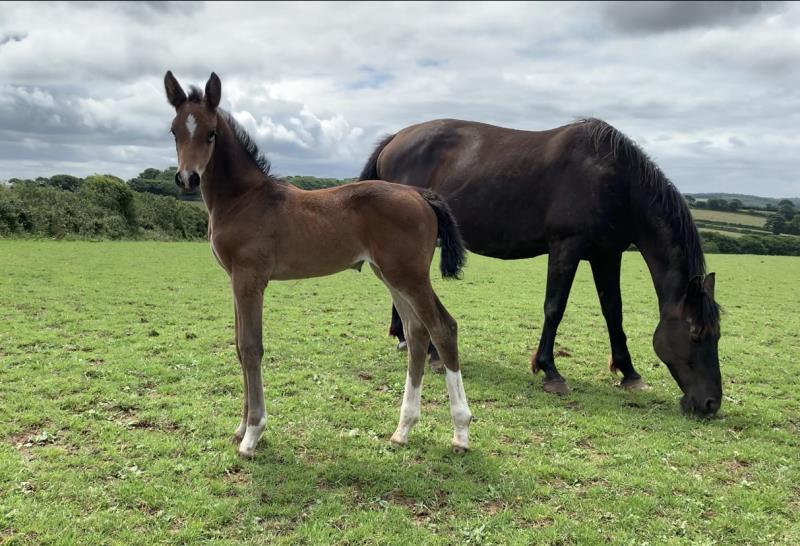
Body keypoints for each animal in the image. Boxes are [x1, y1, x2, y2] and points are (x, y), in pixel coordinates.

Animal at [165, 71, 472, 454]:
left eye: (211, 133)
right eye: (174, 131)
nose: (187, 178)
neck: (243, 198)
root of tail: (419, 195)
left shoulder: (250, 278)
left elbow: (251, 348)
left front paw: (252, 433)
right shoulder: (234, 280)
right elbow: (238, 346)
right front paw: (240, 427)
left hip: (410, 276)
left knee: (443, 328)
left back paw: (460, 433)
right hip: (390, 275)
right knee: (417, 334)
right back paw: (403, 430)